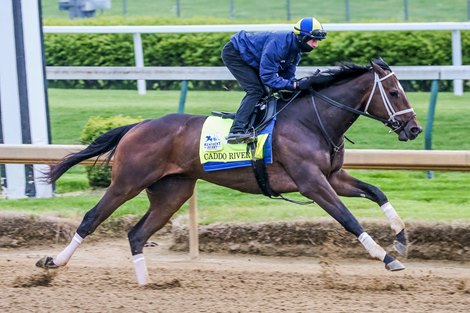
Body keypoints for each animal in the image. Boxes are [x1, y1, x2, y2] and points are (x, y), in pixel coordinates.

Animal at [36, 59, 422, 286]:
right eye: (393, 92)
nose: (414, 129)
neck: (312, 121)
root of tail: (138, 125)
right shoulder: (311, 183)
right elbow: (349, 219)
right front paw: (387, 258)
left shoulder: (332, 178)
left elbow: (377, 192)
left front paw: (401, 239)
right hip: (127, 182)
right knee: (92, 218)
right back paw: (53, 261)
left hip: (173, 191)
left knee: (136, 234)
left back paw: (148, 284)